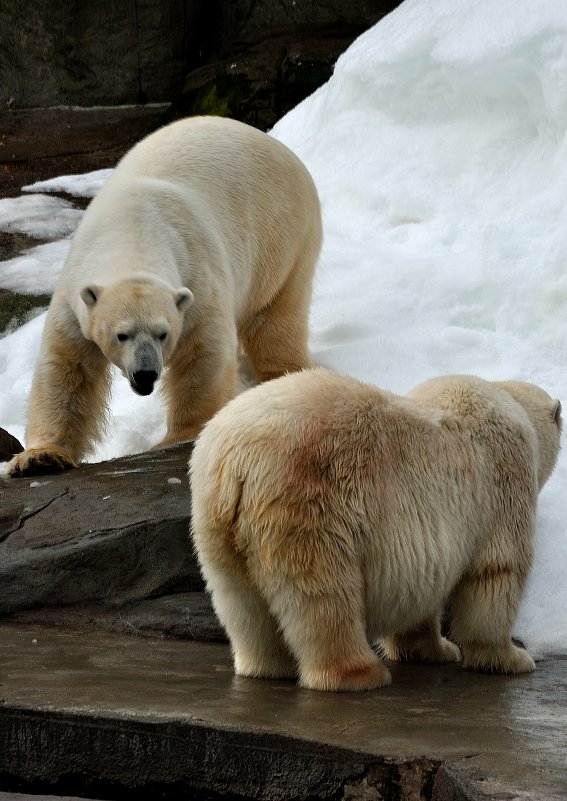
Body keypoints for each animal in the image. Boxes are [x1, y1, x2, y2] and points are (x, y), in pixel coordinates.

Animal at [6, 113, 322, 476]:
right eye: (122, 335)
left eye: (163, 334)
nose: (146, 374)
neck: (133, 232)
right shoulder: (76, 295)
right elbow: (67, 369)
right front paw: (39, 458)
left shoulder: (196, 277)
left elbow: (202, 354)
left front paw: (178, 436)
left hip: (282, 238)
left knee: (274, 319)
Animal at [192, 368, 564, 688]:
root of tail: (237, 462)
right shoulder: (503, 482)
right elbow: (497, 571)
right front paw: (511, 658)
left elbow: (423, 583)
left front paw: (434, 649)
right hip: (312, 505)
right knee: (324, 596)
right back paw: (360, 673)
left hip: (216, 522)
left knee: (240, 600)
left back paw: (264, 666)